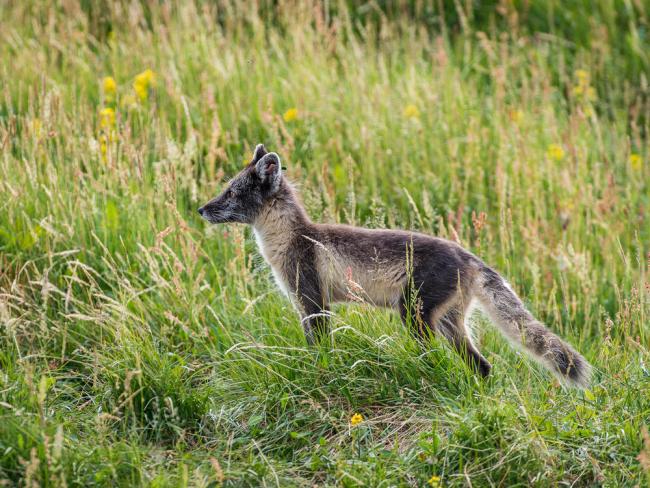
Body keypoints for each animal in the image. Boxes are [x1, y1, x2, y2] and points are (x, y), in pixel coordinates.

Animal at [200, 143, 588, 386]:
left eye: (231, 193)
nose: (201, 209)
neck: (292, 238)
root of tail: (470, 257)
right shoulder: (309, 303)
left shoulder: (312, 299)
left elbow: (319, 346)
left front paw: (318, 371)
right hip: (449, 322)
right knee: (482, 365)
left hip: (414, 314)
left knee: (441, 358)